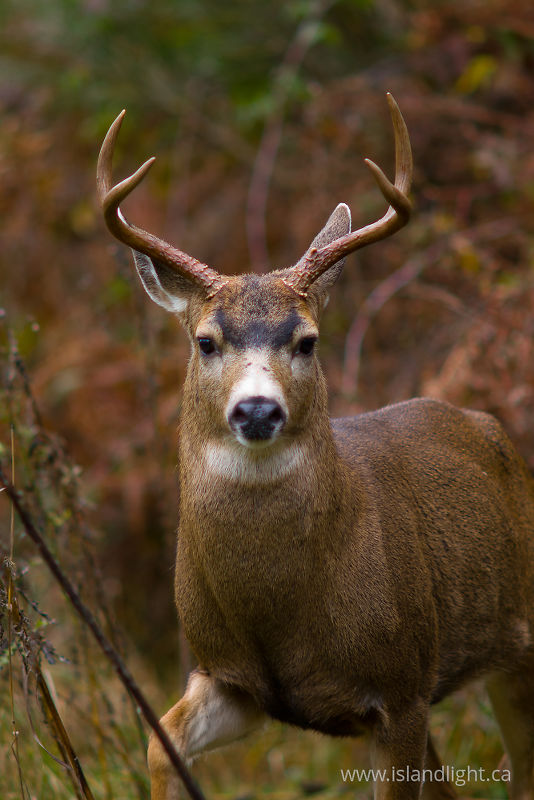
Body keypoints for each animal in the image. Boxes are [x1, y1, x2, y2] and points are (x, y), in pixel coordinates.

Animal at [97, 94, 534, 800]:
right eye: (206, 340)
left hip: (516, 643)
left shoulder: (401, 687)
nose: (256, 408)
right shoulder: (232, 679)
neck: (283, 614)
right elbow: (160, 743)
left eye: (306, 340)